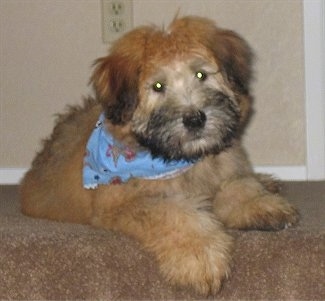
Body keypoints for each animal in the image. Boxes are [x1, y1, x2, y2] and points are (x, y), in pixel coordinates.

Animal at [20, 15, 298, 292]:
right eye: (157, 86)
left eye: (201, 74)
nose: (195, 119)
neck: (175, 158)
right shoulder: (121, 204)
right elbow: (172, 214)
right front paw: (199, 256)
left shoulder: (225, 169)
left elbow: (238, 186)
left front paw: (261, 205)